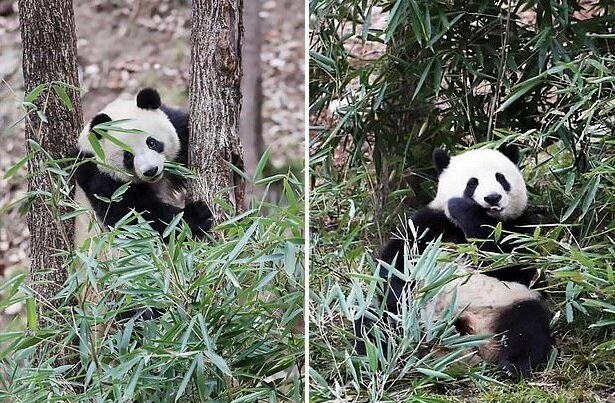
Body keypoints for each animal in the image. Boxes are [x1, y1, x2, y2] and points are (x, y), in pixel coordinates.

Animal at [73, 87, 213, 248]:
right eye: (128, 155)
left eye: (151, 142)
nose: (151, 171)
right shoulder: (100, 178)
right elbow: (135, 219)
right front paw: (196, 216)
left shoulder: (179, 134)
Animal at [356, 145, 552, 382]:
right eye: (472, 182)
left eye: (501, 178)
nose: (493, 198)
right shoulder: (430, 223)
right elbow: (396, 260)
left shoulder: (523, 227)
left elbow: (517, 266)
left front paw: (462, 208)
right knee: (374, 323)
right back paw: (373, 359)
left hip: (509, 303)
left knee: (529, 328)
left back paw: (512, 366)